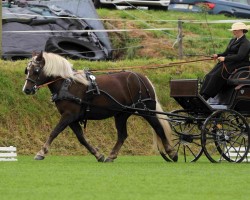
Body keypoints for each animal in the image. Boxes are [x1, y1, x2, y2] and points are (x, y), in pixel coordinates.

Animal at [22, 51, 178, 162]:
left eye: (36, 70)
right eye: (27, 70)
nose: (27, 90)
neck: (67, 84)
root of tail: (142, 78)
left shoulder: (69, 115)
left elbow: (54, 132)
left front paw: (41, 152)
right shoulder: (71, 118)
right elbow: (81, 138)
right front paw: (98, 154)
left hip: (147, 110)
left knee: (158, 128)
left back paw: (172, 152)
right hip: (121, 114)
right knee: (122, 135)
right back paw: (111, 156)